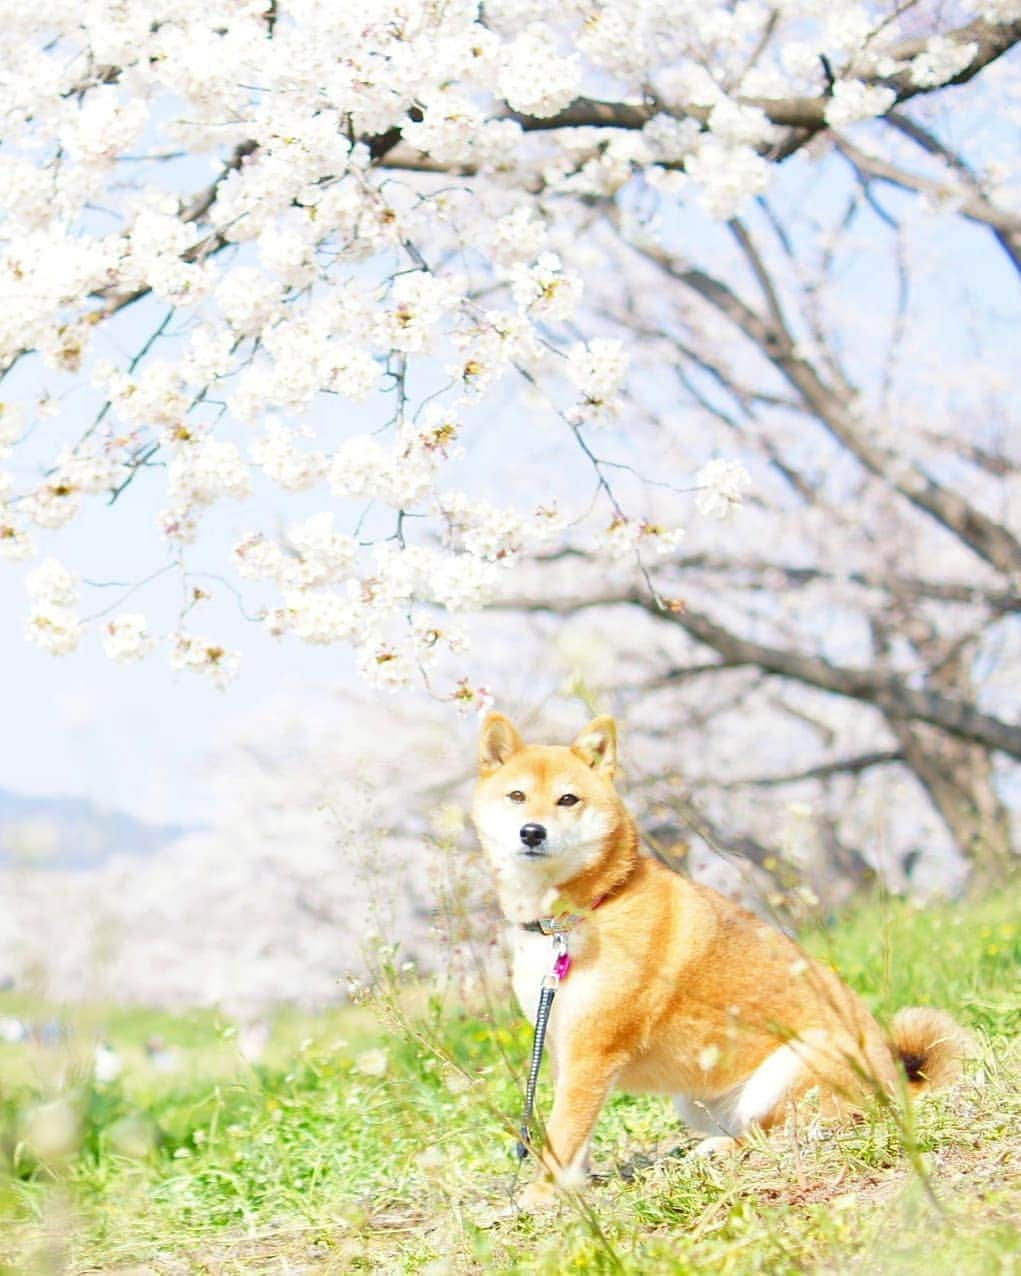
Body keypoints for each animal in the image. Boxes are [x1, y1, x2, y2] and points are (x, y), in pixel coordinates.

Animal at [469, 719, 964, 1204]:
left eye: (567, 799)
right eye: (517, 796)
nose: (532, 831)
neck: (579, 912)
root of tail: (899, 1083)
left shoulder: (593, 1051)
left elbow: (562, 1135)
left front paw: (537, 1196)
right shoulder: (559, 1045)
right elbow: (571, 1137)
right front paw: (572, 1190)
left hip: (796, 1063)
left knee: (786, 1132)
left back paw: (722, 1150)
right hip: (699, 1101)